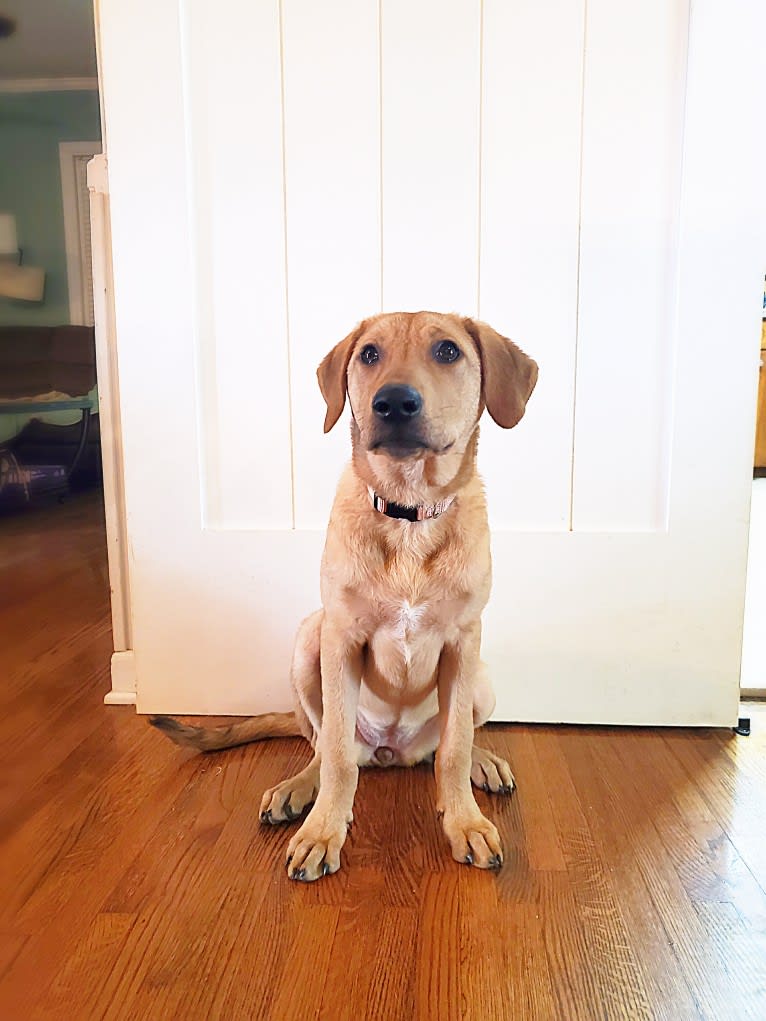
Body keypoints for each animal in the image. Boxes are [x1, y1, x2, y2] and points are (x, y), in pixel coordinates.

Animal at [148, 310, 535, 878]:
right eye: (369, 354)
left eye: (448, 351)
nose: (393, 402)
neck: (409, 513)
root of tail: (393, 752)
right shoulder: (341, 639)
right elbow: (334, 753)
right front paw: (323, 831)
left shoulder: (463, 643)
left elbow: (455, 748)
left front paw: (464, 821)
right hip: (309, 640)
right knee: (325, 745)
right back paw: (299, 787)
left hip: (481, 678)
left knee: (447, 743)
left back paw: (479, 766)